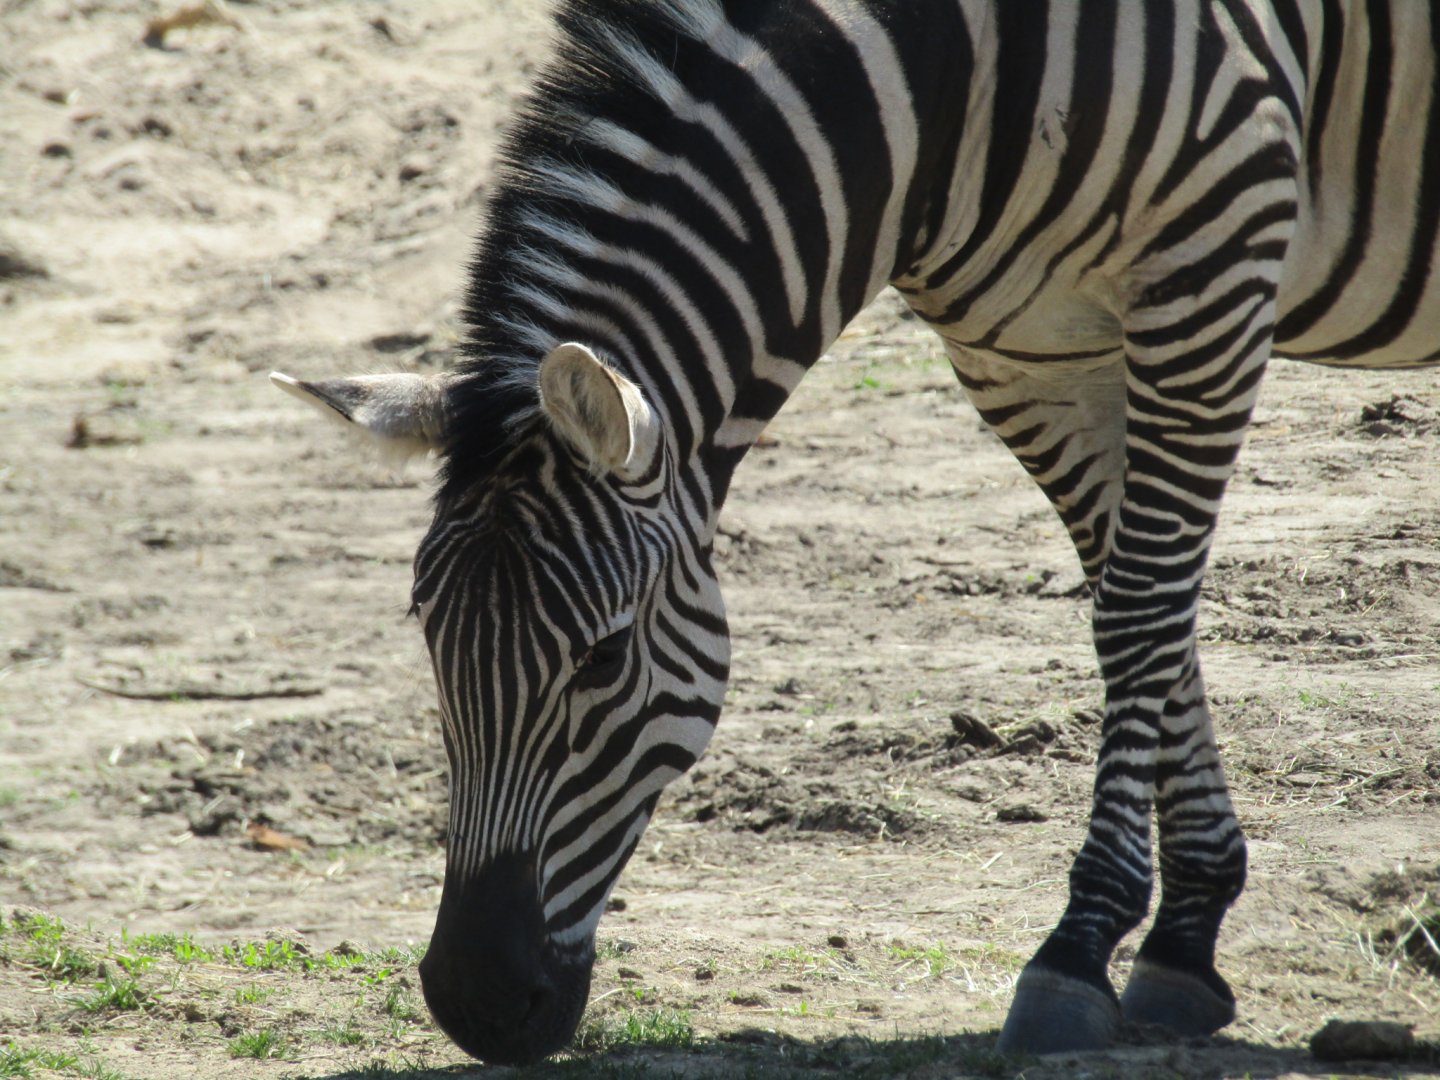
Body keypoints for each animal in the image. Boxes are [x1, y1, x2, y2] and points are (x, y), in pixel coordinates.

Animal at [271, 0, 1440, 1065]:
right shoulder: (1029, 351)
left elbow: (1141, 616)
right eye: (430, 649)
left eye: (601, 659)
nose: (472, 1003)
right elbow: (1135, 604)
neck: (951, 86)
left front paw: (1079, 949)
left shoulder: (1213, 268)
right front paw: (1186, 936)